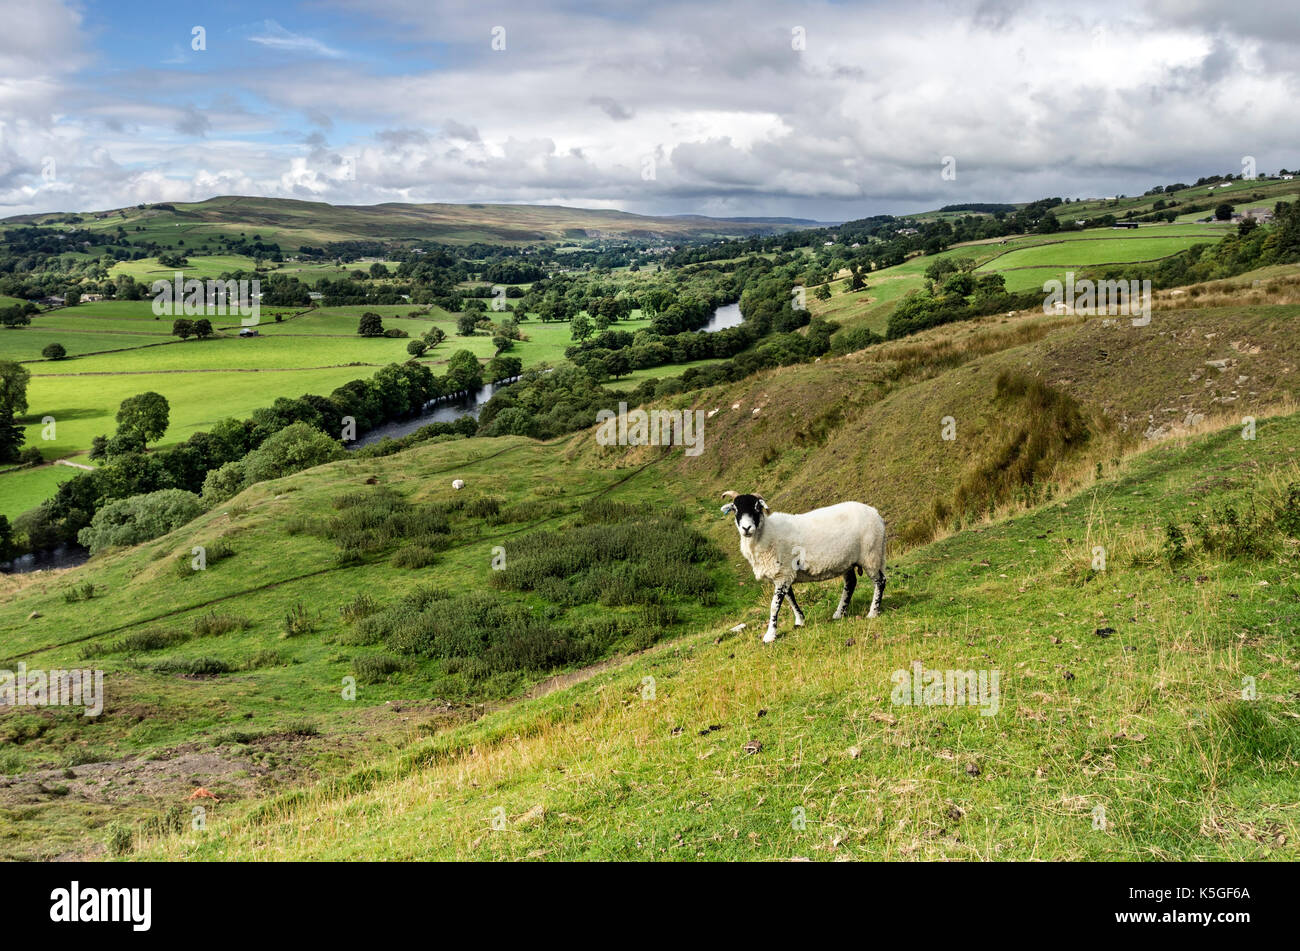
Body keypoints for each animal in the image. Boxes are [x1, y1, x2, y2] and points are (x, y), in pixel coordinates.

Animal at [717, 493, 889, 641]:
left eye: (757, 507)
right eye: (735, 509)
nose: (746, 528)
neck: (767, 534)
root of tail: (876, 513)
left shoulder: (783, 574)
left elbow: (774, 606)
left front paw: (770, 635)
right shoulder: (783, 573)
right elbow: (790, 598)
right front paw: (799, 620)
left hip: (871, 554)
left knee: (880, 581)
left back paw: (872, 612)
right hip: (847, 561)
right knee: (851, 583)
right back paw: (839, 613)